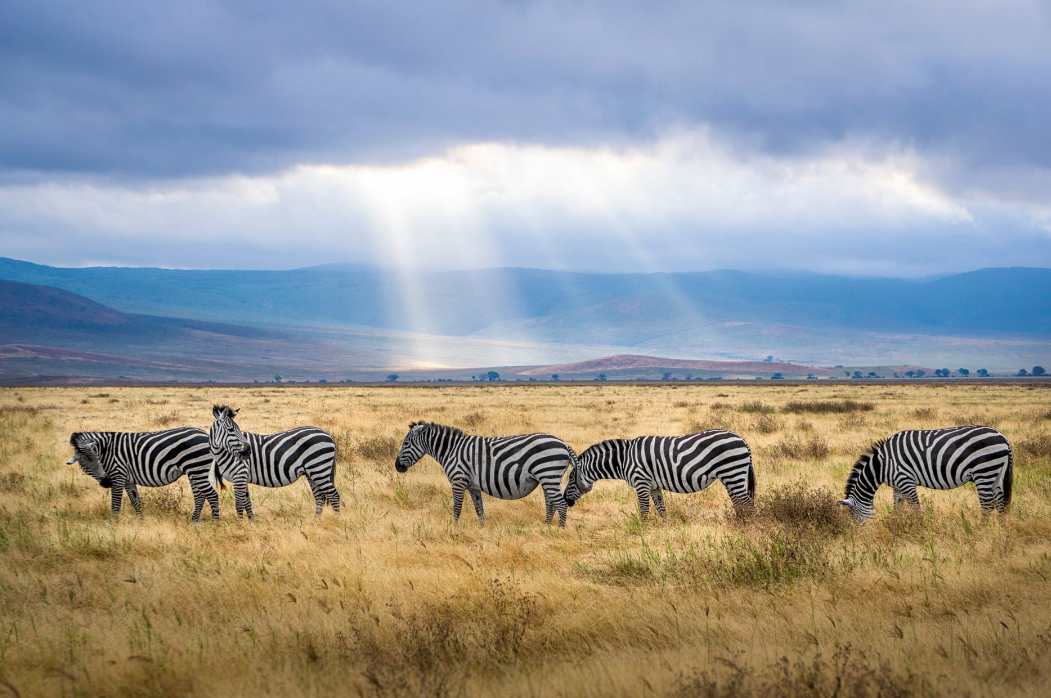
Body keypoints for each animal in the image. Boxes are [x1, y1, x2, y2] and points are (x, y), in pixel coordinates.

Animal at [66, 428, 221, 521]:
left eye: (97, 460)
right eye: (85, 464)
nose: (106, 482)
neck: (107, 450)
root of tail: (205, 434)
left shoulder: (118, 475)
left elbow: (115, 504)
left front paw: (111, 525)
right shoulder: (128, 480)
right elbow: (136, 501)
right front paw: (140, 521)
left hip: (197, 469)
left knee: (212, 495)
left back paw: (215, 523)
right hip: (194, 471)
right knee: (200, 496)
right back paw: (194, 522)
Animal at [211, 403, 342, 517]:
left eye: (237, 429)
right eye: (231, 430)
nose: (248, 451)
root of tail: (328, 435)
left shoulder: (239, 475)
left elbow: (239, 504)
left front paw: (241, 524)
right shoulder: (243, 477)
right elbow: (247, 503)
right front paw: (252, 522)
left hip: (319, 469)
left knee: (334, 496)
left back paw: (336, 519)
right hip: (312, 472)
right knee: (320, 497)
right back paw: (316, 521)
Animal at [395, 420, 575, 529]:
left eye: (406, 443)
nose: (397, 466)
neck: (451, 450)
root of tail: (563, 443)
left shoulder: (458, 480)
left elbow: (457, 507)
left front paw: (454, 528)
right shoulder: (473, 486)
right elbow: (479, 508)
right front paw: (482, 528)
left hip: (548, 474)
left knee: (561, 504)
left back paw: (560, 530)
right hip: (547, 478)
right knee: (551, 503)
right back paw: (545, 526)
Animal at [563, 428, 760, 521]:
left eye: (571, 478)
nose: (565, 500)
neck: (624, 460)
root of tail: (742, 440)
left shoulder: (641, 482)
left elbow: (644, 510)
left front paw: (642, 531)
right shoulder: (654, 487)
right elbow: (661, 510)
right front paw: (666, 530)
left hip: (732, 471)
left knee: (747, 503)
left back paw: (748, 527)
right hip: (731, 476)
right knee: (739, 502)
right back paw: (738, 524)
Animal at [836, 422, 1008, 521]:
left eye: (854, 517)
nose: (860, 535)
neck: (882, 465)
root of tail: (1002, 436)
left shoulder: (906, 481)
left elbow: (915, 507)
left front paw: (920, 528)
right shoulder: (897, 485)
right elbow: (898, 506)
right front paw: (896, 525)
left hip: (983, 472)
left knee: (987, 505)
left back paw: (982, 530)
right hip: (994, 473)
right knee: (999, 501)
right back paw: (1000, 529)